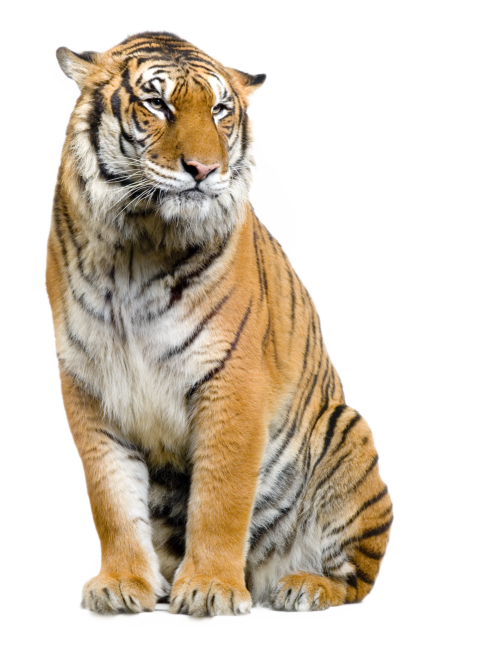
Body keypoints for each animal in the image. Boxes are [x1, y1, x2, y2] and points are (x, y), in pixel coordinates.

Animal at [45, 30, 393, 618]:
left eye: (219, 110)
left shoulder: (231, 379)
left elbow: (220, 495)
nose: (204, 170)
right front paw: (120, 583)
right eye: (156, 104)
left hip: (348, 432)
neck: (135, 248)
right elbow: (110, 495)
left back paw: (304, 586)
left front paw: (209, 587)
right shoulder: (88, 384)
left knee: (358, 576)